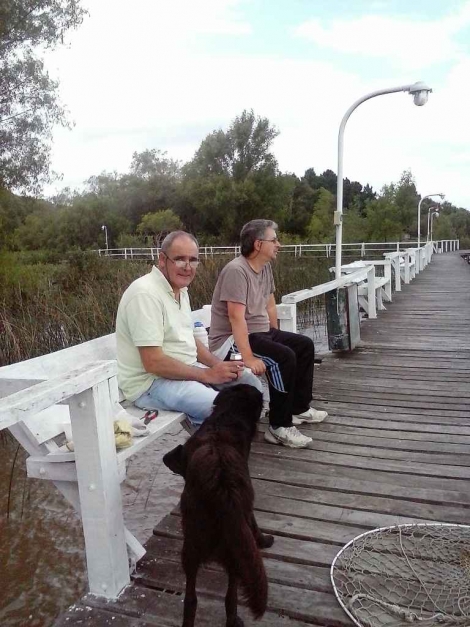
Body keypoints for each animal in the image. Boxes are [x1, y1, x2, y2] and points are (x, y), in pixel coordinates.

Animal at [163, 386, 276, 624]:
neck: (224, 418)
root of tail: (222, 490)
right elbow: (254, 523)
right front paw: (263, 540)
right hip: (233, 553)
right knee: (227, 597)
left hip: (194, 550)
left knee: (192, 599)